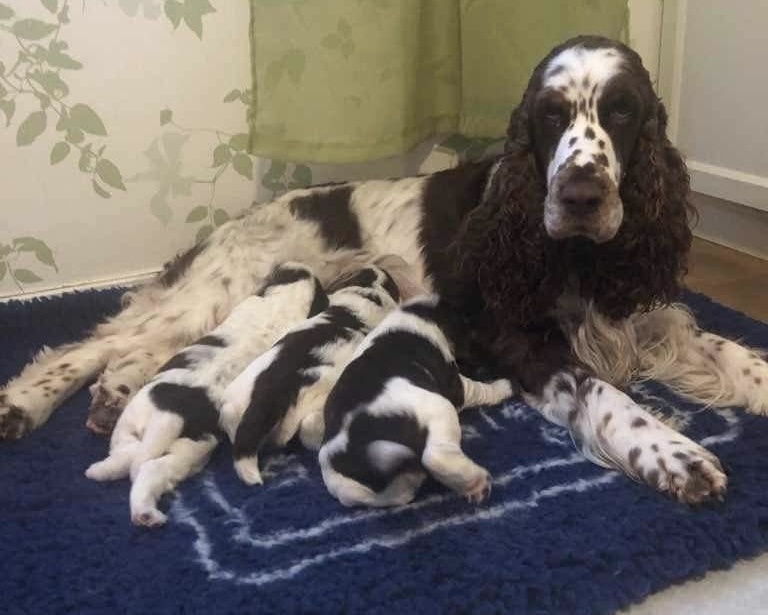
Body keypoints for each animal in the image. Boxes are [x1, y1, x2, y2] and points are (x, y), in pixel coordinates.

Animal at [85, 262, 326, 528]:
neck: (284, 299)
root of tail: (172, 415)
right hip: (154, 434)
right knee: (132, 459)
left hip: (175, 444)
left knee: (140, 463)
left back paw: (138, 507)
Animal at [320, 296, 512, 508]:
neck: (423, 313)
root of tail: (351, 451)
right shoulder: (455, 386)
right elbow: (479, 389)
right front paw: (505, 387)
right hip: (439, 406)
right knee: (435, 457)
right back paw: (476, 483)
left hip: (360, 490)